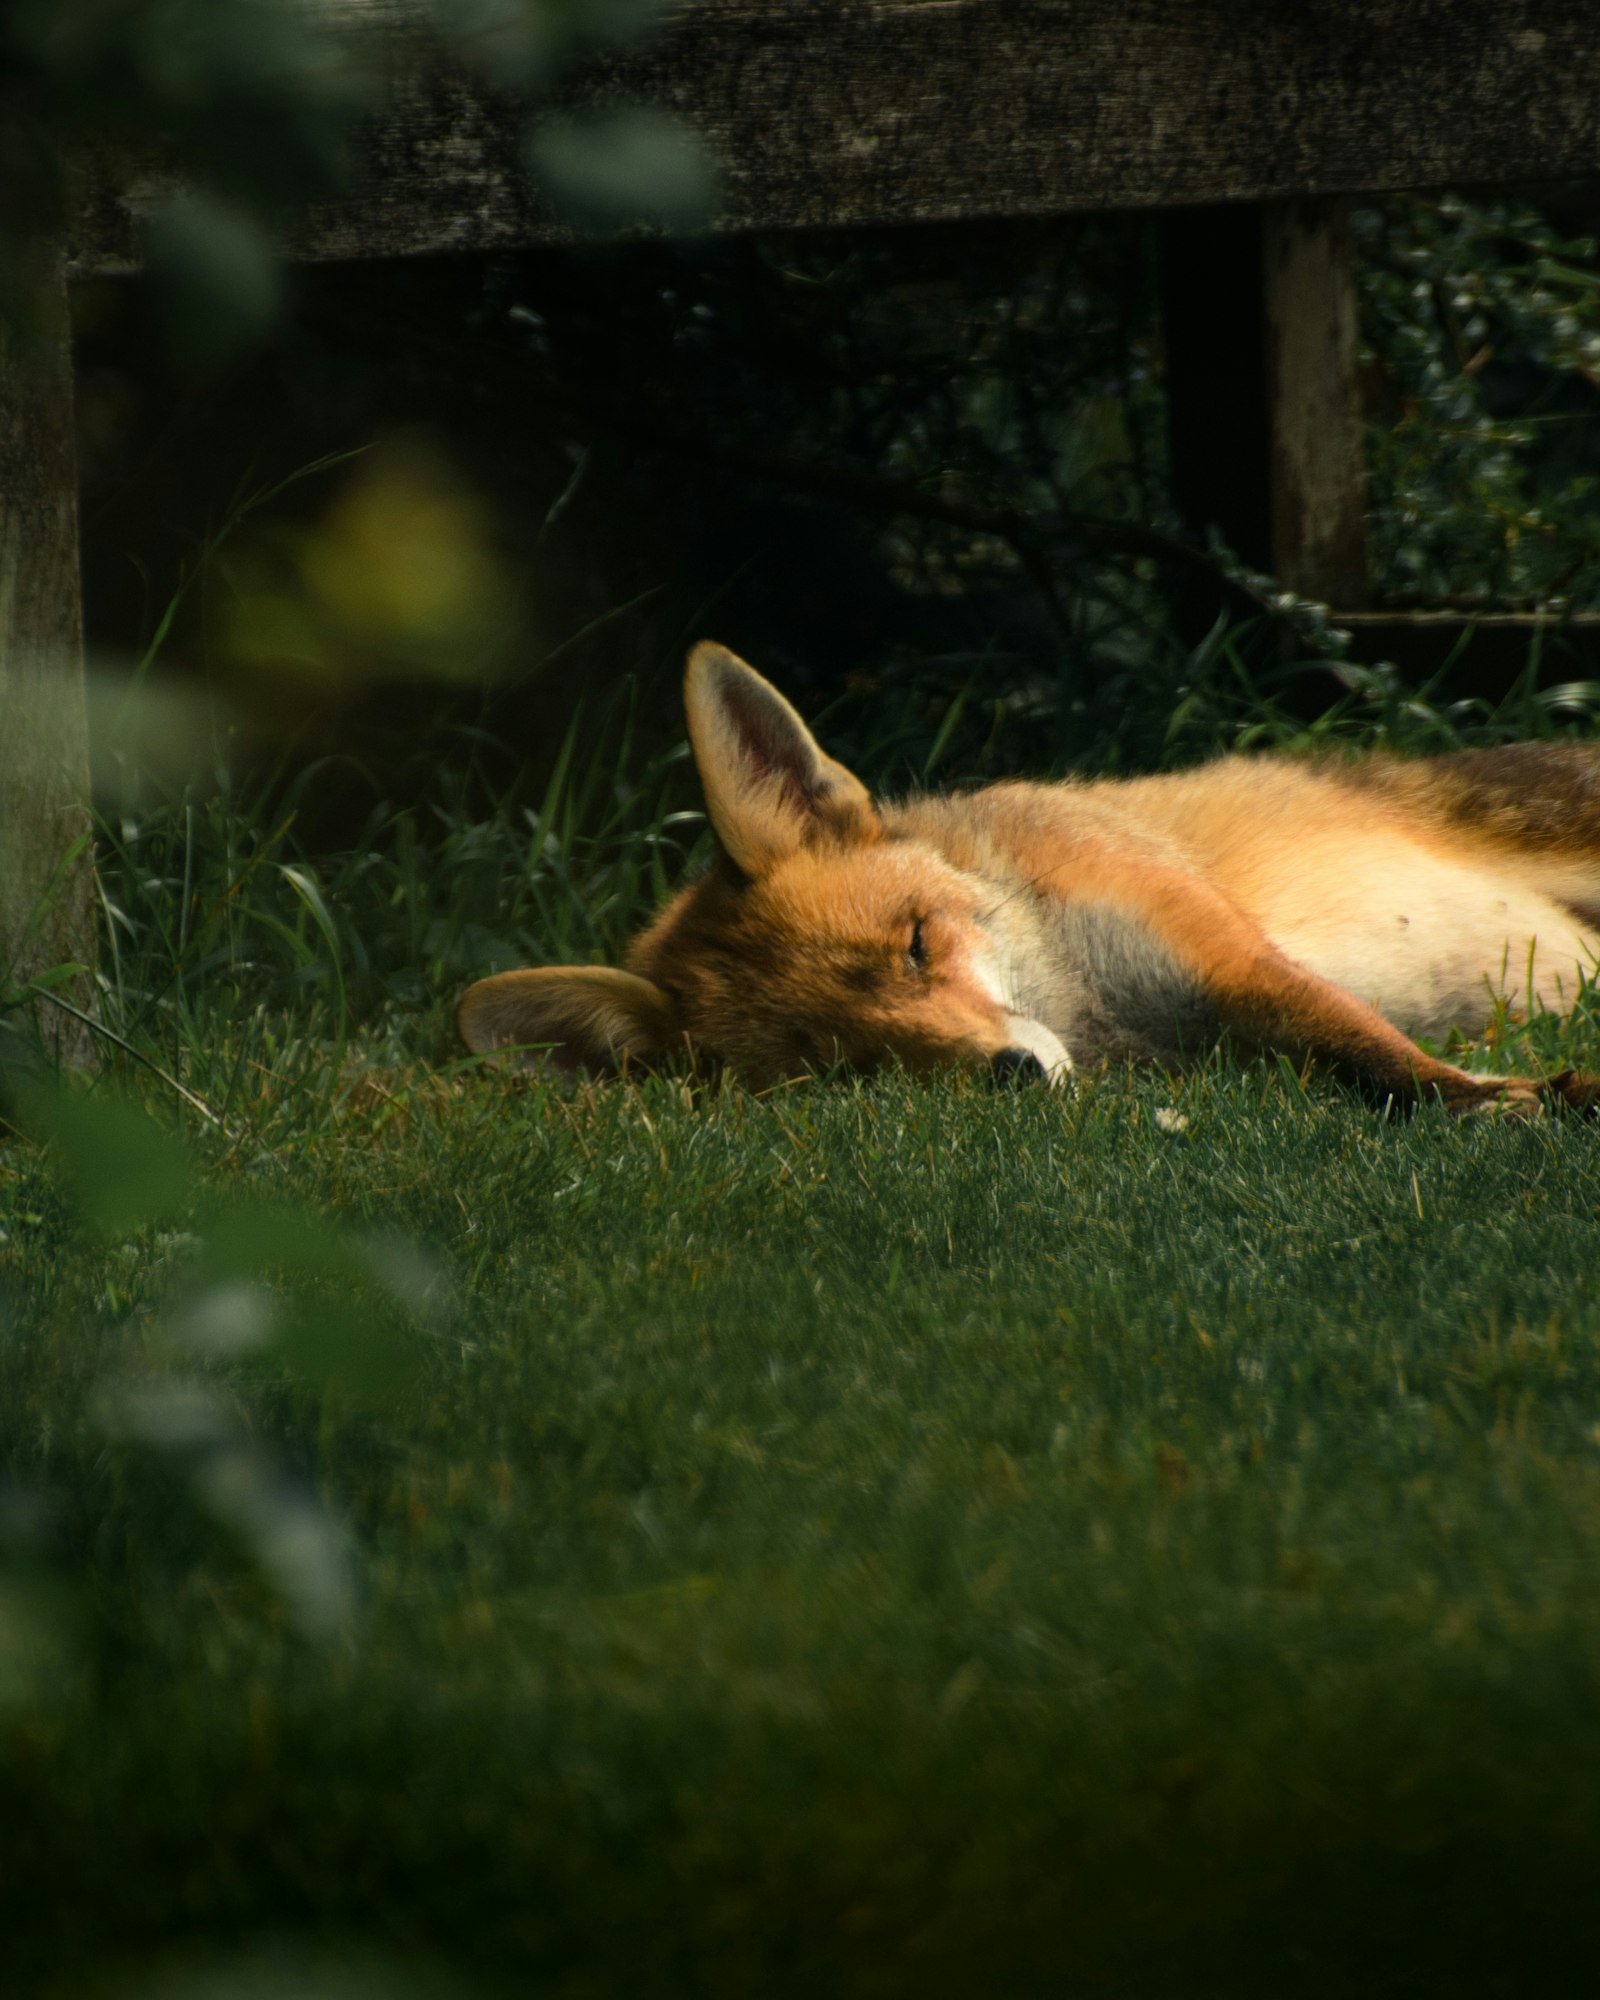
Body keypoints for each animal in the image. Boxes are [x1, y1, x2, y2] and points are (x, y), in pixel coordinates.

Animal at [454, 640, 1600, 1112]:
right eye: (846, 1066)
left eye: (918, 942)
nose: (1010, 1074)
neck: (1092, 1009)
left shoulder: (1223, 955)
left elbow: (1396, 1065)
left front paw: (1519, 1100)